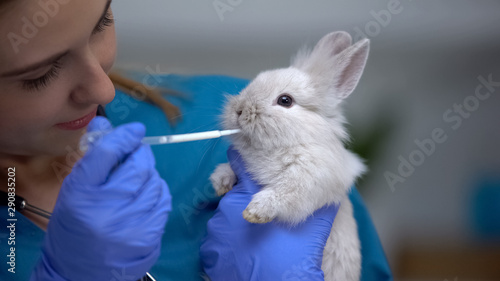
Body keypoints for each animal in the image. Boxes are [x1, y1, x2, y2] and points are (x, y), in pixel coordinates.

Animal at [209, 31, 370, 280]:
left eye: (285, 100)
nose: (239, 110)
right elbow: (229, 170)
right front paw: (221, 182)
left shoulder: (310, 179)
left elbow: (283, 193)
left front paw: (254, 211)